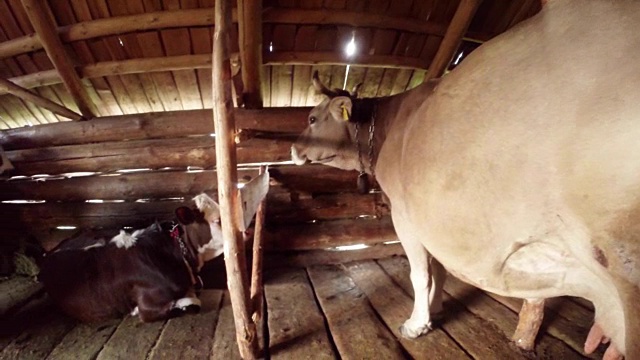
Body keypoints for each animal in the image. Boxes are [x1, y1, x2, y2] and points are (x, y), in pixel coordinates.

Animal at [292, 1, 640, 358]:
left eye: (312, 118)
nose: (293, 148)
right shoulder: (429, 217)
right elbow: (439, 269)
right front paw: (435, 308)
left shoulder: (405, 214)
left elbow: (420, 273)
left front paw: (417, 324)